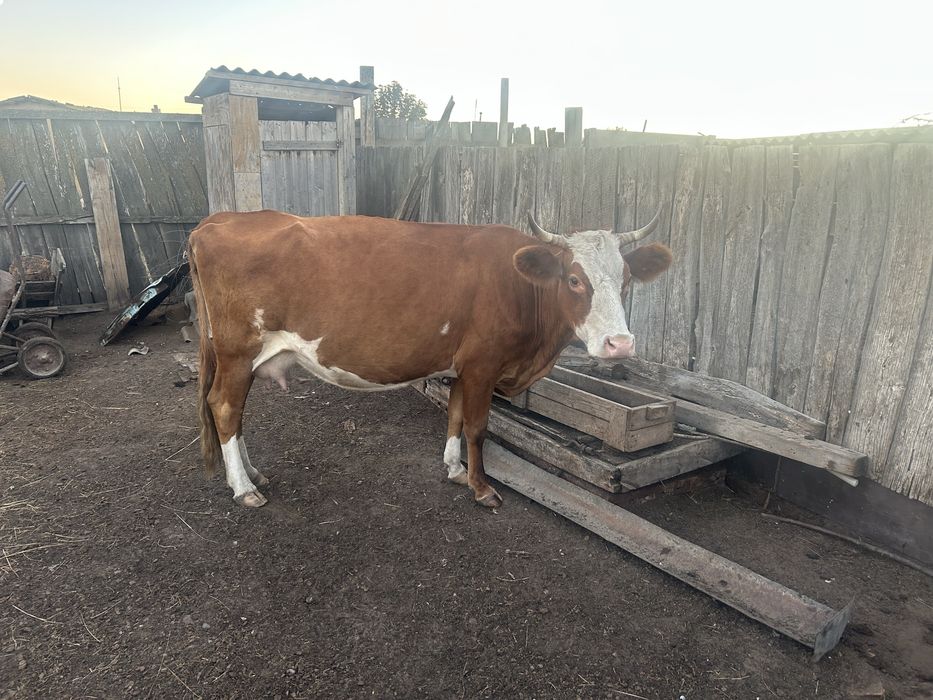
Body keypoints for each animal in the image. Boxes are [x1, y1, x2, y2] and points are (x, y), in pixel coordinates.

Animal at [187, 211, 672, 509]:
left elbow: (454, 416)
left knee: (234, 413)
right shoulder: (483, 365)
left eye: (627, 278)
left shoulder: (461, 367)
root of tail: (220, 219)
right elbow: (477, 428)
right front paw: (481, 487)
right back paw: (244, 488)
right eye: (573, 279)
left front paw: (455, 470)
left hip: (240, 357)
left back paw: (252, 473)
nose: (619, 343)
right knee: (225, 408)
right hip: (237, 350)